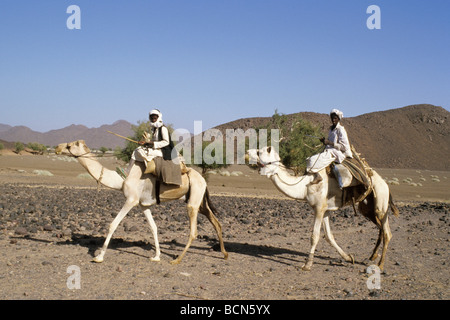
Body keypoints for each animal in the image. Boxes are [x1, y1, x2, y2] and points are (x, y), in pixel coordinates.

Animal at [55, 140, 229, 264]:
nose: (57, 147)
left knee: (194, 231)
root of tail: (203, 180)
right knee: (216, 222)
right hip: (200, 201)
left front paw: (99, 257)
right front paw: (156, 256)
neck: (122, 178)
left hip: (193, 202)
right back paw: (225, 254)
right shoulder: (143, 205)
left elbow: (113, 224)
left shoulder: (131, 200)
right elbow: (153, 227)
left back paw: (177, 259)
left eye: (70, 145)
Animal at [248, 146, 400, 272]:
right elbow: (329, 236)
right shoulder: (326, 210)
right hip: (366, 208)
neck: (305, 186)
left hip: (381, 201)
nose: (247, 152)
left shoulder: (319, 208)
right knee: (380, 228)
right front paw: (349, 258)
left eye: (259, 152)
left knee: (387, 232)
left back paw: (380, 264)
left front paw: (307, 265)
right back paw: (373, 256)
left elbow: (314, 236)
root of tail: (385, 183)